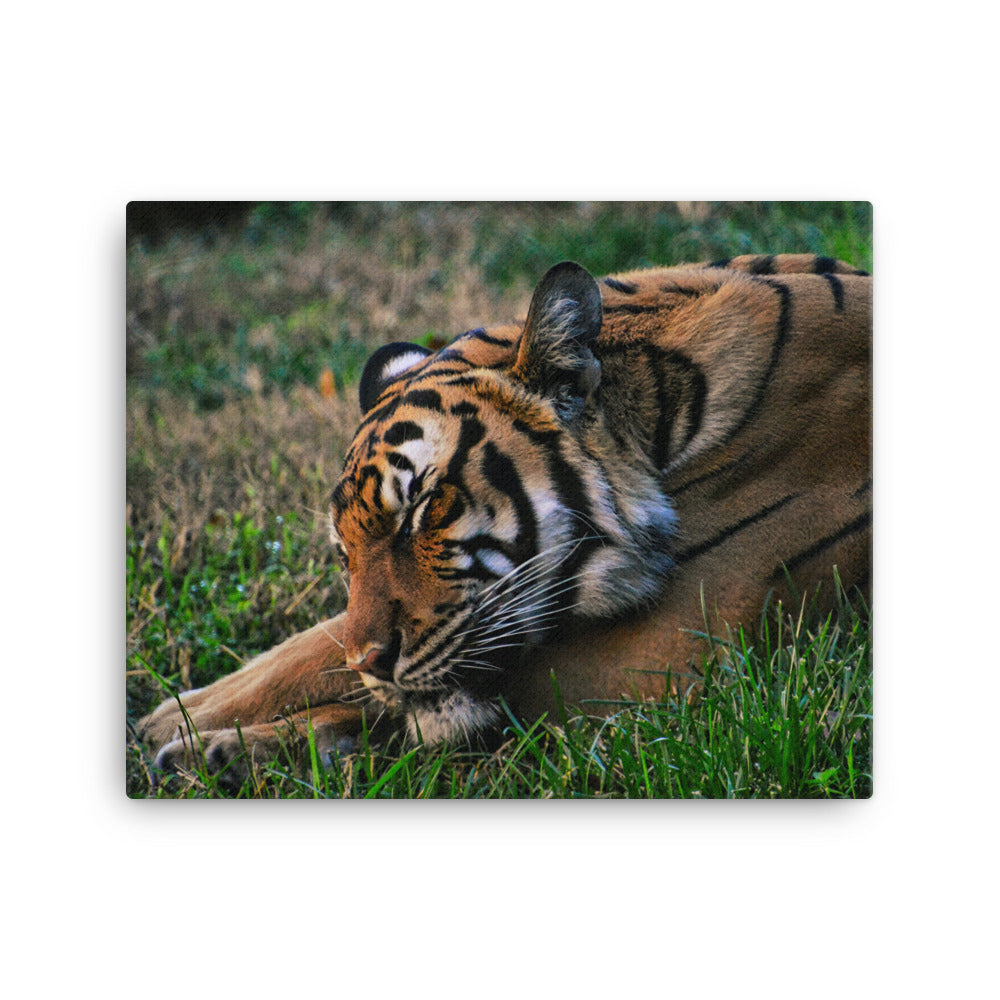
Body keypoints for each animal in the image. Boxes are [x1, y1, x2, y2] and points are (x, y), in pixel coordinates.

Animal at [138, 253, 872, 776]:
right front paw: (182, 720)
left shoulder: (666, 660)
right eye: (345, 553)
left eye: (420, 509)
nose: (373, 662)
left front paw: (205, 744)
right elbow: (320, 642)